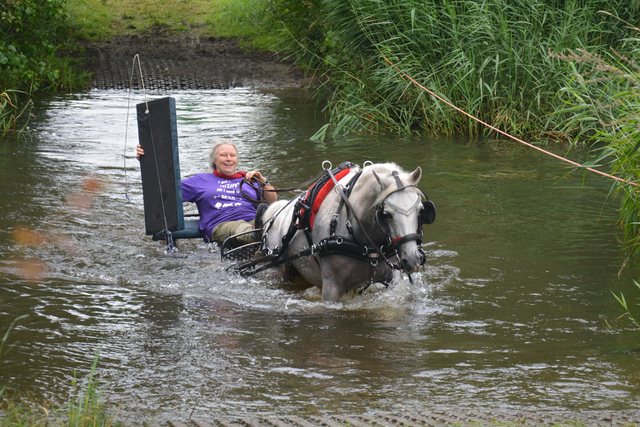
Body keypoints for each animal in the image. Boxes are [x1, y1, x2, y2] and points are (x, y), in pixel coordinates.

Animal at [255, 162, 436, 302]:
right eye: (386, 214)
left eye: (421, 211)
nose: (412, 260)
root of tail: (274, 216)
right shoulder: (331, 288)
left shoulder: (393, 280)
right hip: (276, 272)